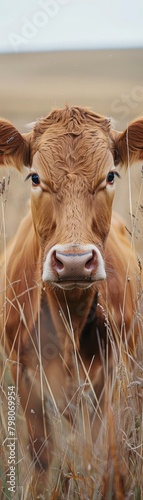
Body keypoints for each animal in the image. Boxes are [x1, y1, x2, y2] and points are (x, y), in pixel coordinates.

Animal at [0, 106, 142, 496]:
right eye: (35, 177)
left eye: (110, 175)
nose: (75, 261)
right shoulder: (24, 377)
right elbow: (42, 455)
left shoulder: (114, 378)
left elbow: (108, 454)